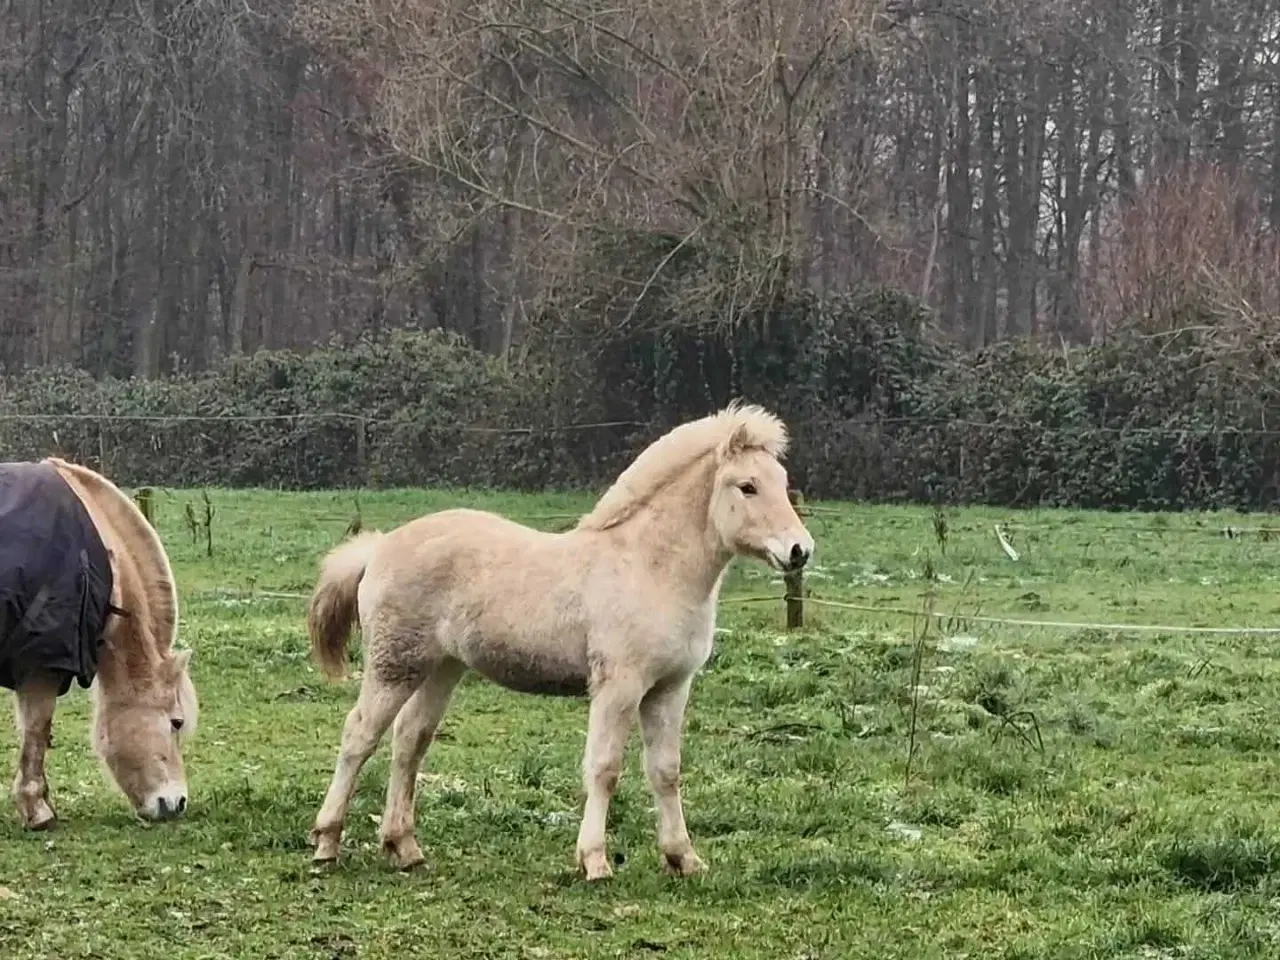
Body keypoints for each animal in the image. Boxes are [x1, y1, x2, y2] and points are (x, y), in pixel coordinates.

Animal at [304, 402, 814, 879]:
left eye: (782, 480)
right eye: (747, 486)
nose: (799, 550)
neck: (650, 567)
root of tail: (379, 546)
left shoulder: (670, 688)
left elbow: (665, 771)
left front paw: (682, 857)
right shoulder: (619, 686)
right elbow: (604, 768)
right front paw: (595, 861)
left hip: (441, 668)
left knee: (410, 740)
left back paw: (404, 847)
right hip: (394, 665)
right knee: (359, 734)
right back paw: (327, 842)